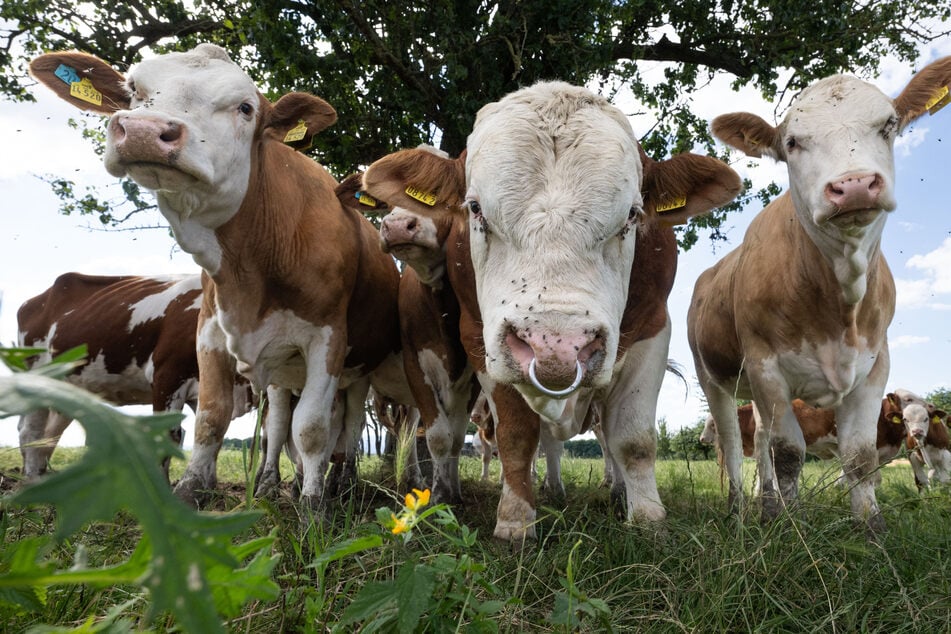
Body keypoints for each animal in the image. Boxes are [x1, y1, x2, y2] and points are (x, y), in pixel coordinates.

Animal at [16, 272, 252, 481]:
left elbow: (210, 431)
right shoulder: (167, 374)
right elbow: (169, 435)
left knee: (49, 433)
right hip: (37, 377)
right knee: (30, 431)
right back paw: (32, 479)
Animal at [360, 80, 742, 540]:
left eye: (632, 215)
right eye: (475, 208)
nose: (556, 347)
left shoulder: (652, 329)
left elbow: (633, 439)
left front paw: (649, 518)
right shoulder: (479, 342)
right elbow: (515, 437)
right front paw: (515, 520)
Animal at [687, 57, 951, 532]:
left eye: (889, 124)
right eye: (792, 142)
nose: (855, 184)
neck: (839, 296)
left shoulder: (874, 369)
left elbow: (860, 458)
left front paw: (871, 530)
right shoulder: (766, 366)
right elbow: (789, 454)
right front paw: (790, 529)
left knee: (759, 439)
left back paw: (766, 504)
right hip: (714, 375)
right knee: (734, 443)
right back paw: (738, 509)